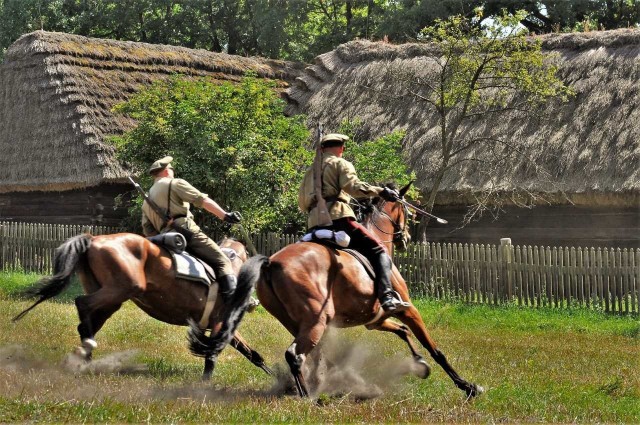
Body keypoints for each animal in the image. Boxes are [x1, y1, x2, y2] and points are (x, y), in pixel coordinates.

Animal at [13, 235, 270, 378]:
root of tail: (93, 238)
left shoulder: (225, 328)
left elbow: (252, 354)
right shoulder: (220, 323)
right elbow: (213, 354)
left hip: (112, 300)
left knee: (87, 321)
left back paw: (86, 358)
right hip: (122, 289)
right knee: (81, 304)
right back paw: (87, 350)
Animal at [192, 182, 482, 398]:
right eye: (406, 210)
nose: (406, 238)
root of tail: (272, 262)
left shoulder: (376, 320)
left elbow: (402, 332)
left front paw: (419, 364)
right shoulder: (407, 309)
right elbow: (434, 348)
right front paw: (466, 386)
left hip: (300, 323)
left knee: (312, 355)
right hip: (316, 322)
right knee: (295, 355)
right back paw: (309, 396)